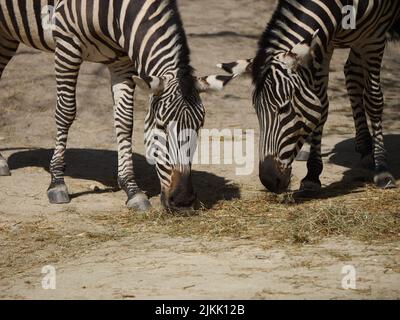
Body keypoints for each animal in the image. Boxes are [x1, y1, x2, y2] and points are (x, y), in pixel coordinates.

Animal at [219, 0, 400, 194]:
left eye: (284, 108)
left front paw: (382, 170)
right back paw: (365, 148)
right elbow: (321, 103)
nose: (269, 181)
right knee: (352, 73)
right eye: (256, 110)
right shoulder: (324, 43)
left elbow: (374, 100)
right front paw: (312, 174)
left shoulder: (375, 38)